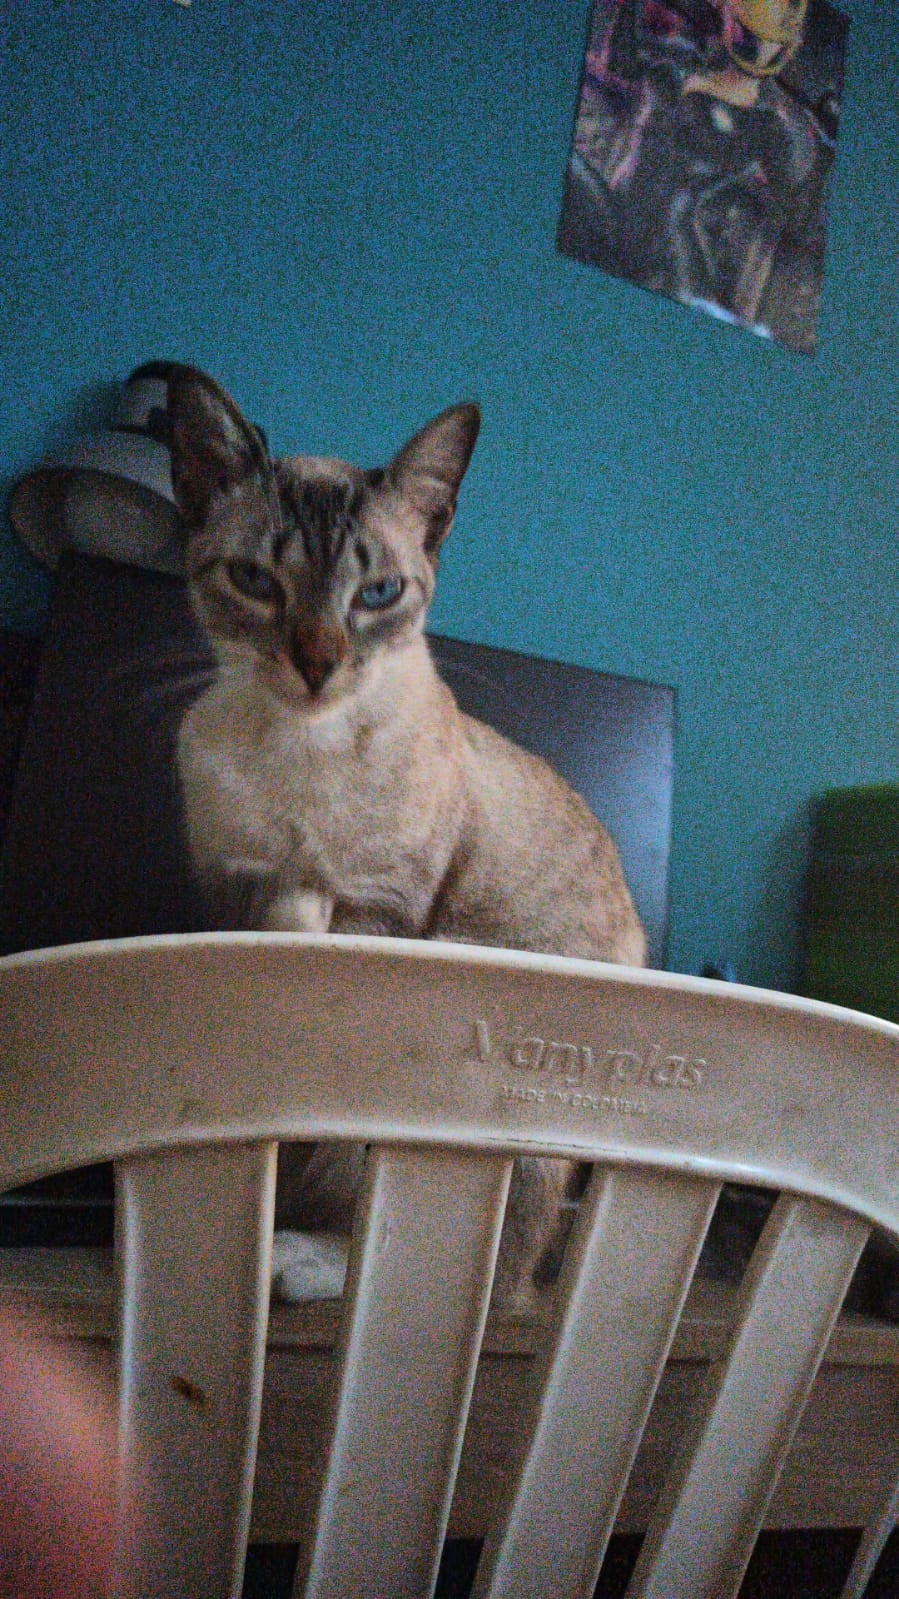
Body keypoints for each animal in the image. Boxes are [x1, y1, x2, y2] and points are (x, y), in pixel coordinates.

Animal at [166, 364, 647, 1310]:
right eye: (254, 581)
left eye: (378, 594)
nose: (316, 663)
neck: (296, 748)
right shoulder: (227, 887)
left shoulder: (375, 910)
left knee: (459, 1263)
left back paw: (295, 1260)